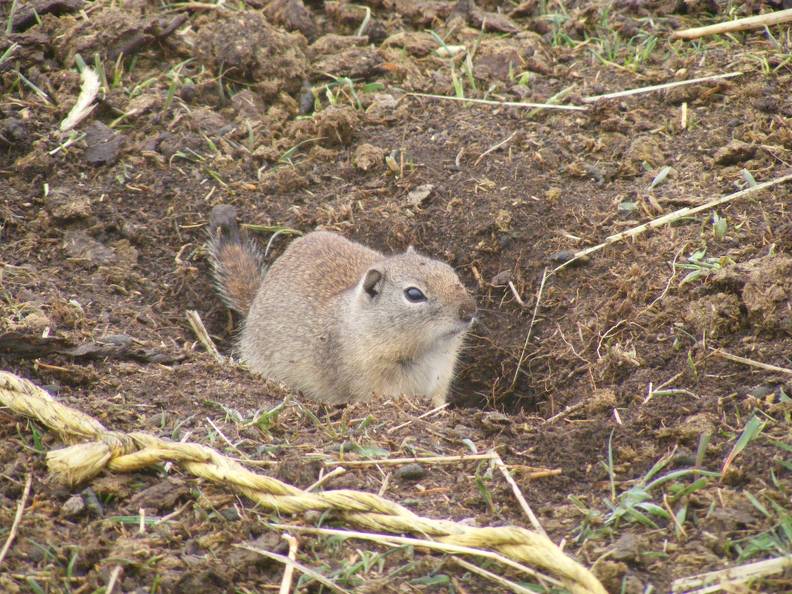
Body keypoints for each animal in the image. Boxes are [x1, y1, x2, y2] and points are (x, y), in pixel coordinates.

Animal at [206, 202, 476, 402]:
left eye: (451, 272)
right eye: (414, 294)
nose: (469, 310)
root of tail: (256, 299)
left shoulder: (441, 379)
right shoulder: (372, 380)